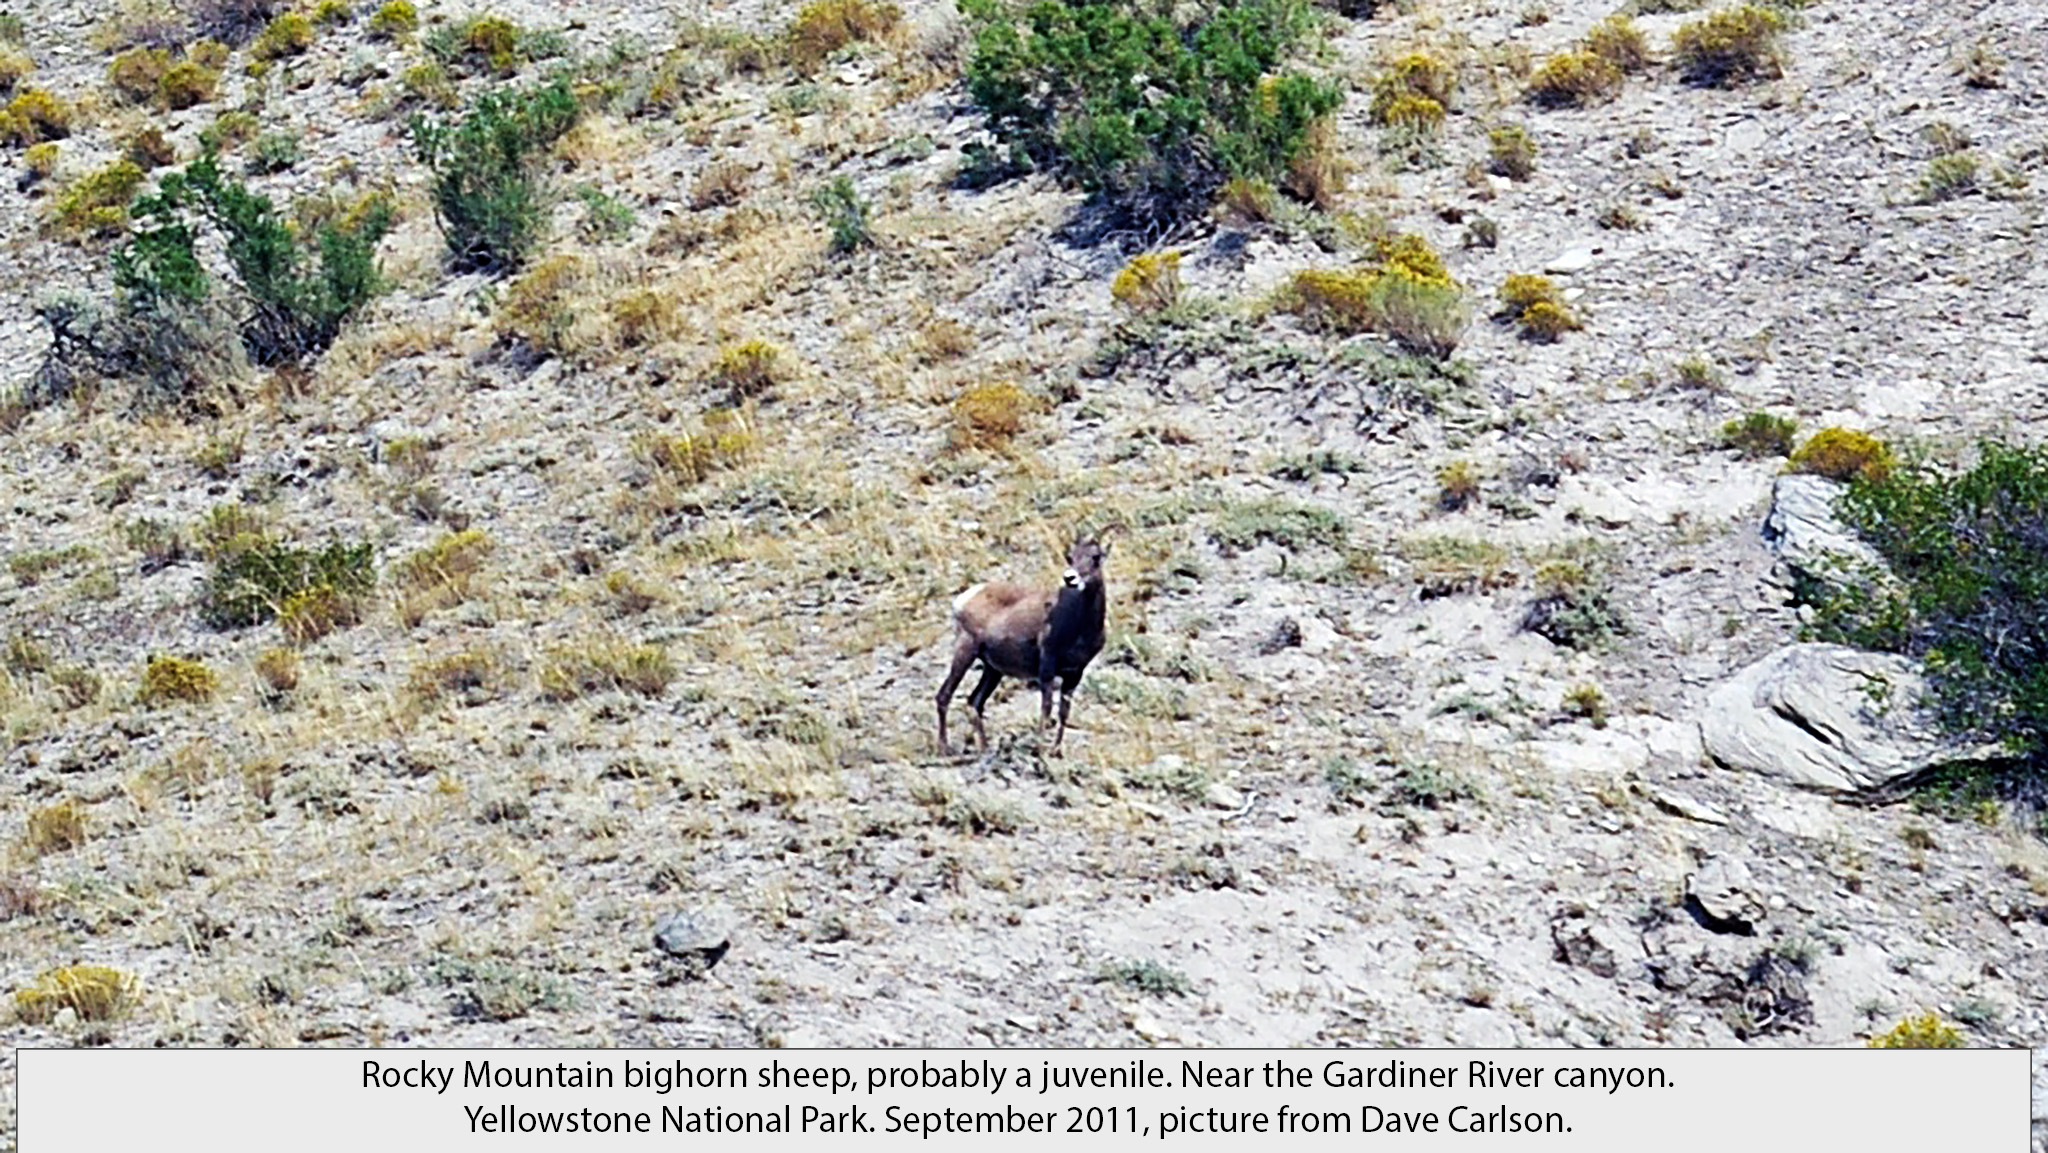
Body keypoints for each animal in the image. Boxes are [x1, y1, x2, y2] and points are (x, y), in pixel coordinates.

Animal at [936, 527, 1121, 756]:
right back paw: (944, 748)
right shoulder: (1047, 667)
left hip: (992, 670)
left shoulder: (1074, 674)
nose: (1070, 578)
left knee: (974, 702)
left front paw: (1056, 751)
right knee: (944, 696)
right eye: (1070, 556)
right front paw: (1040, 748)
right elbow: (1046, 708)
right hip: (965, 652)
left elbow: (1064, 712)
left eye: (1095, 557)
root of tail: (965, 598)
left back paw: (985, 748)